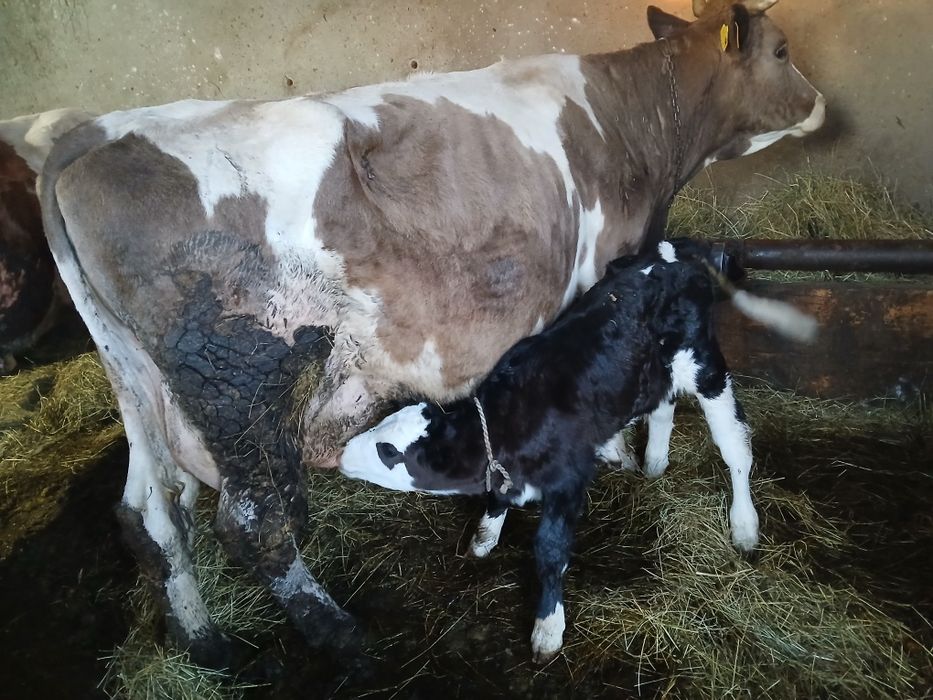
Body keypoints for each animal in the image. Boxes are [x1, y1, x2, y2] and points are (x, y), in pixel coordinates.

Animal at [339, 239, 818, 663]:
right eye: (380, 426)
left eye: (387, 451)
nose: (342, 455)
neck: (508, 420)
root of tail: (673, 251)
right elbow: (497, 502)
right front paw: (484, 538)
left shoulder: (568, 482)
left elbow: (550, 551)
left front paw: (548, 628)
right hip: (650, 373)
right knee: (662, 408)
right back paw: (653, 463)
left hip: (706, 367)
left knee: (734, 447)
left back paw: (744, 525)